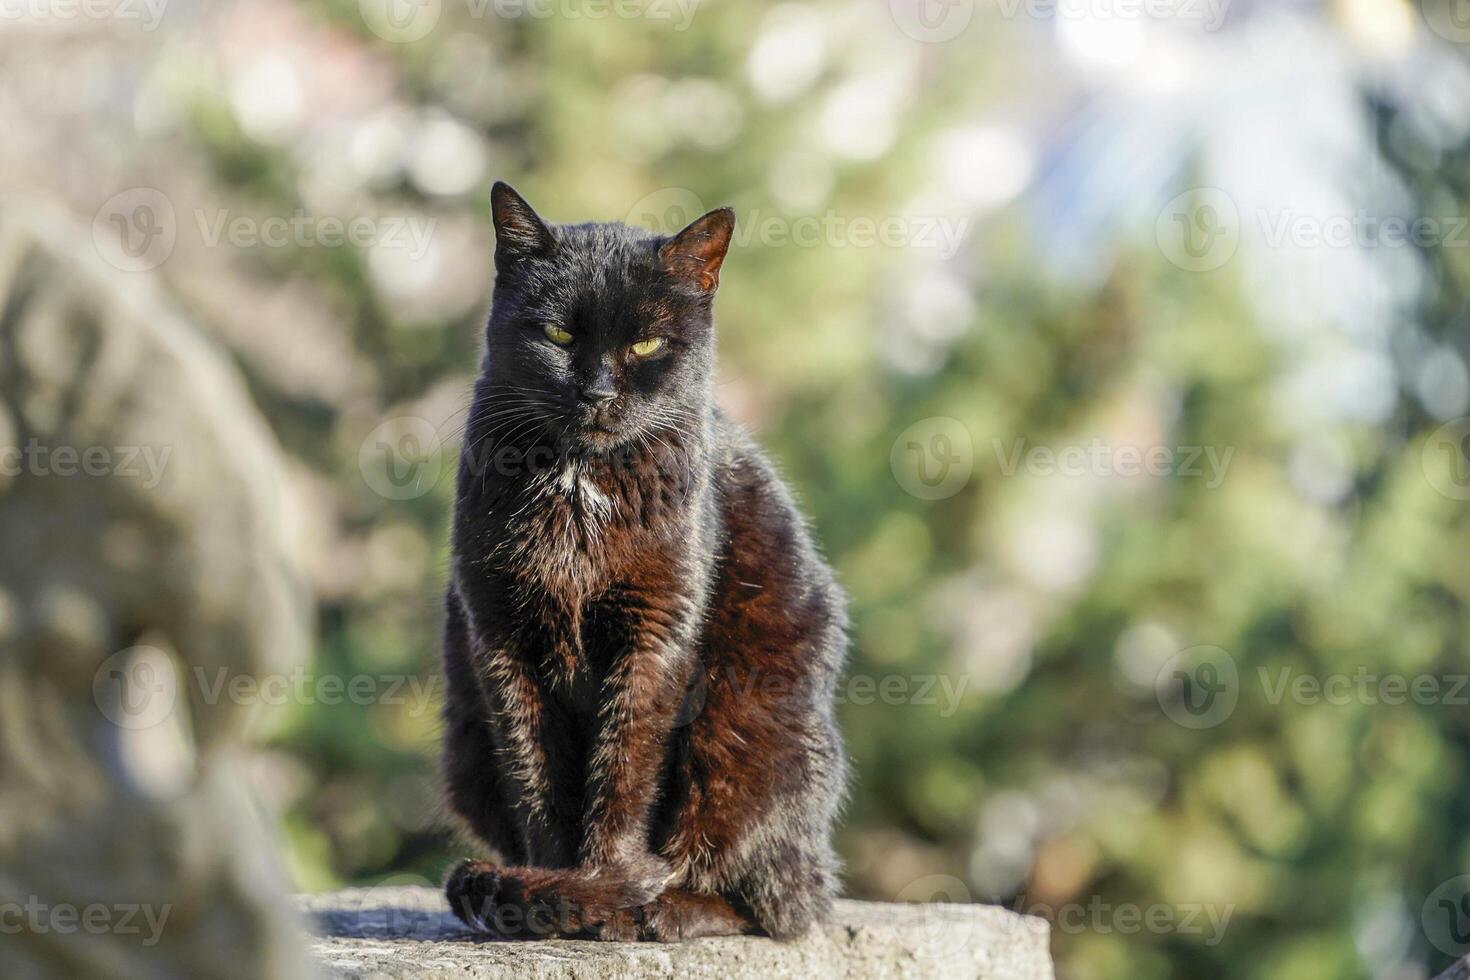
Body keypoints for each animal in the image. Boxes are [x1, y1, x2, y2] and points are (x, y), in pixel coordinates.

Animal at [441, 183, 846, 940]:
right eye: (559, 337)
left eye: (647, 343)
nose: (598, 393)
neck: (579, 484)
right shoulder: (501, 638)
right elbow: (536, 775)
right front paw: (558, 885)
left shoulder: (656, 635)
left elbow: (625, 769)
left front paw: (603, 885)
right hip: (465, 750)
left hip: (741, 730)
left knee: (764, 902)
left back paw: (661, 908)